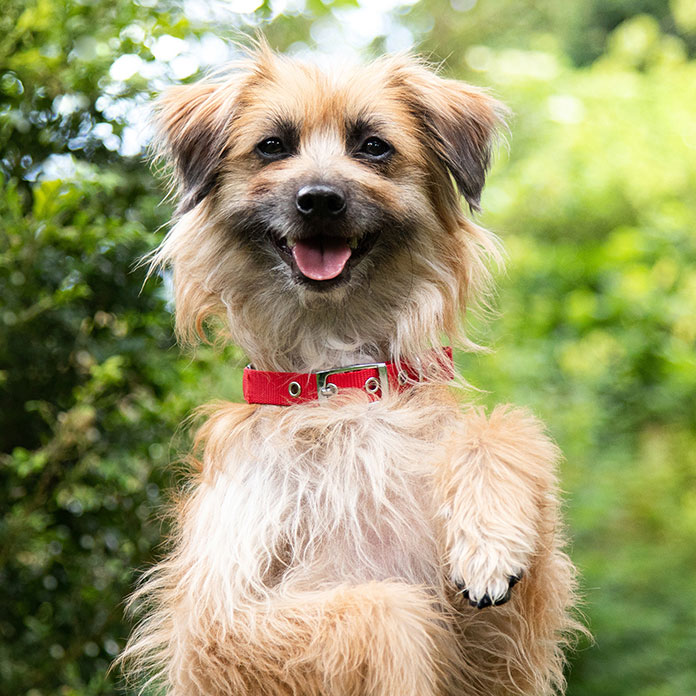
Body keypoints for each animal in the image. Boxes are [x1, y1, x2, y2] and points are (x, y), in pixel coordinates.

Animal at [121, 44, 580, 696]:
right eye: (272, 146)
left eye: (373, 146)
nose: (319, 199)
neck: (339, 384)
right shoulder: (215, 626)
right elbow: (386, 609)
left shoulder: (502, 651)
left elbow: (504, 428)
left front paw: (489, 541)